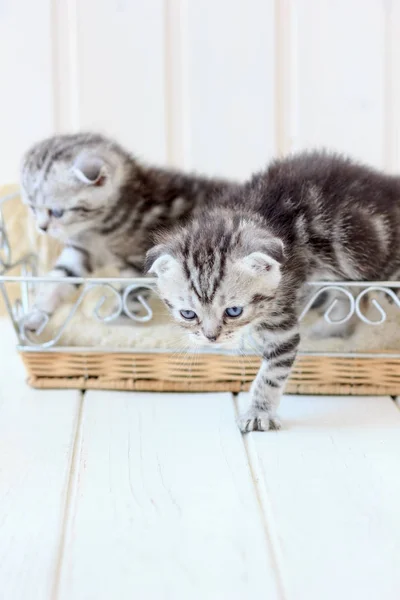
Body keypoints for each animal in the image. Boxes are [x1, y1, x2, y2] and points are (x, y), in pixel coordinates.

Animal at [20, 131, 233, 330]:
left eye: (57, 212)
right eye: (31, 207)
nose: (42, 227)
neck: (99, 228)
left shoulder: (143, 262)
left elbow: (131, 294)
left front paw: (120, 321)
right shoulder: (81, 251)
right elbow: (59, 279)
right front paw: (36, 315)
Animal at [147, 150, 400, 432]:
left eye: (233, 311)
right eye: (188, 314)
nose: (212, 338)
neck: (246, 213)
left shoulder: (281, 316)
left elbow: (272, 373)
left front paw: (259, 412)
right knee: (354, 296)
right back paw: (333, 330)